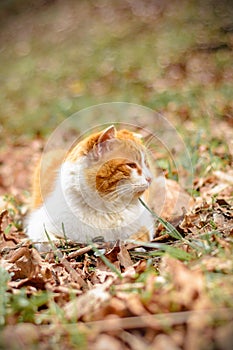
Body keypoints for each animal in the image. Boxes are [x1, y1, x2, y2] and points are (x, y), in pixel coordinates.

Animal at [26, 124, 155, 250]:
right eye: (131, 165)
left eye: (146, 163)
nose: (150, 178)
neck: (106, 209)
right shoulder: (38, 224)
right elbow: (46, 241)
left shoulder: (146, 222)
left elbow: (143, 234)